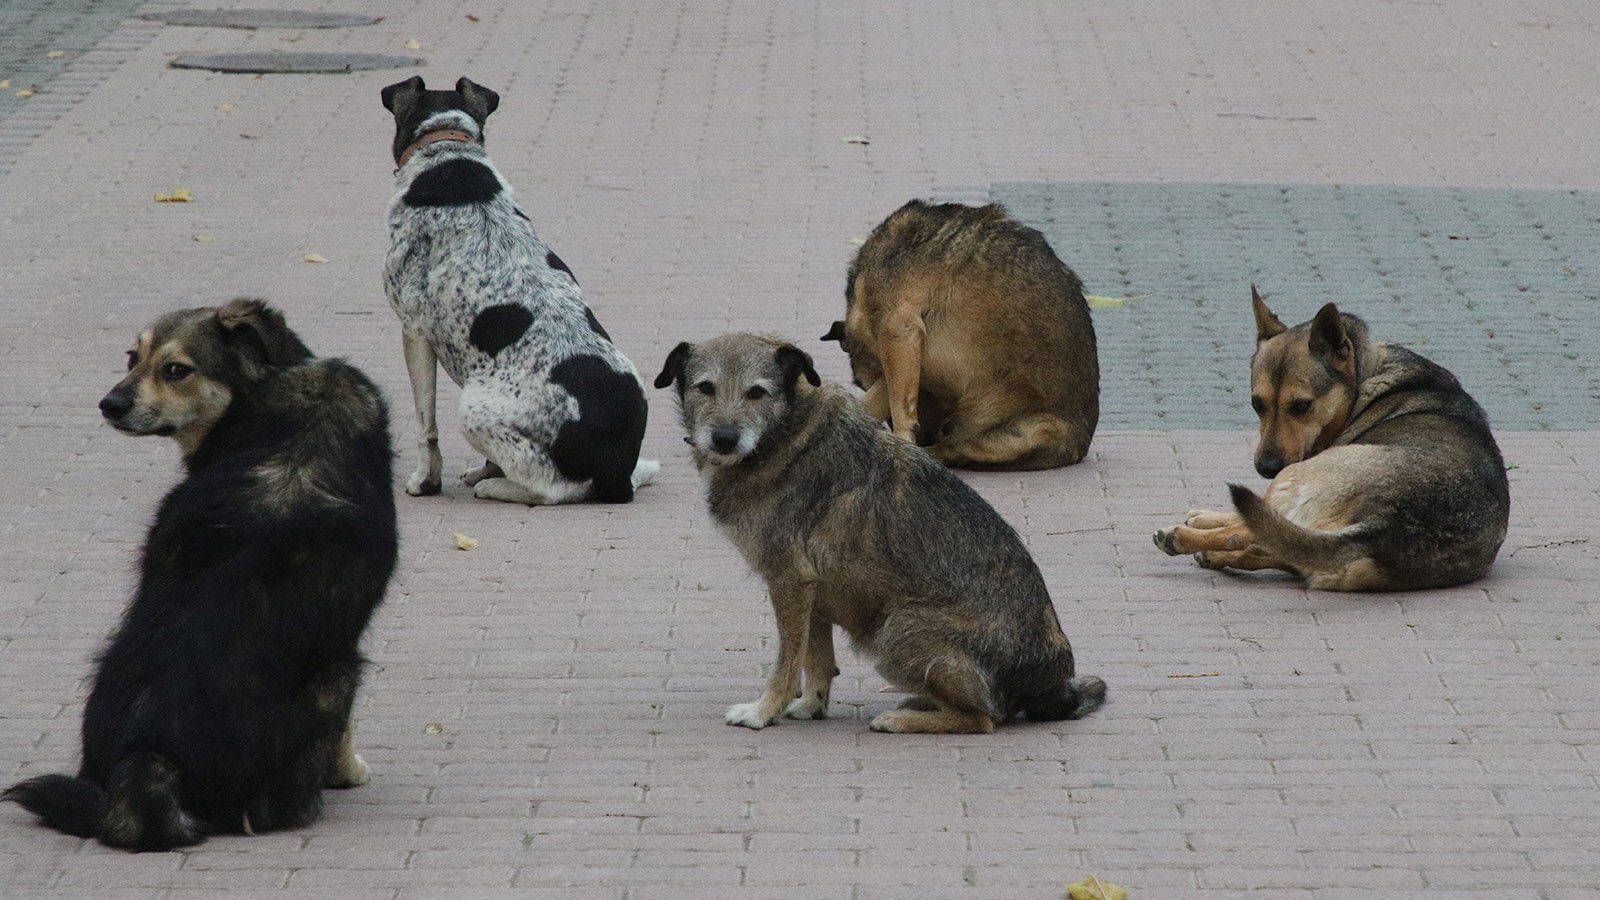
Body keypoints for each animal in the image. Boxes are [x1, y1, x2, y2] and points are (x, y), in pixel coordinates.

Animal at [1, 297, 398, 845]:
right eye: (133, 357)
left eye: (176, 370)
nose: (110, 404)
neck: (269, 387)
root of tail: (151, 756)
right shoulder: (345, 636)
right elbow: (348, 730)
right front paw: (348, 771)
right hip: (338, 673)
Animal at [380, 76, 656, 506]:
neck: (446, 148)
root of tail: (617, 476)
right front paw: (483, 470)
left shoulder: (414, 333)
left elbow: (426, 425)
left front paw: (426, 481)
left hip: (472, 409)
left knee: (552, 488)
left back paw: (500, 488)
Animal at [649, 333, 1100, 733]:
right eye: (705, 388)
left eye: (757, 392)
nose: (724, 439)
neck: (785, 434)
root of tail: (1055, 683)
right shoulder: (813, 590)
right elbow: (815, 658)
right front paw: (810, 706)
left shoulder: (789, 582)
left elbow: (788, 661)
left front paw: (764, 711)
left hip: (897, 627)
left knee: (984, 718)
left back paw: (903, 720)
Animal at [825, 200, 1100, 470]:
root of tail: (1080, 447)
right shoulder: (905, 355)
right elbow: (877, 402)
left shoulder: (898, 330)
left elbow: (899, 409)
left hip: (1025, 433)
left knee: (951, 451)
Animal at [1158, 286, 1504, 592]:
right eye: (1257, 404)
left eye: (1301, 406)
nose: (1265, 467)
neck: (1364, 378)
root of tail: (1385, 525)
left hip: (1296, 473)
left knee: (1249, 528)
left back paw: (1181, 538)